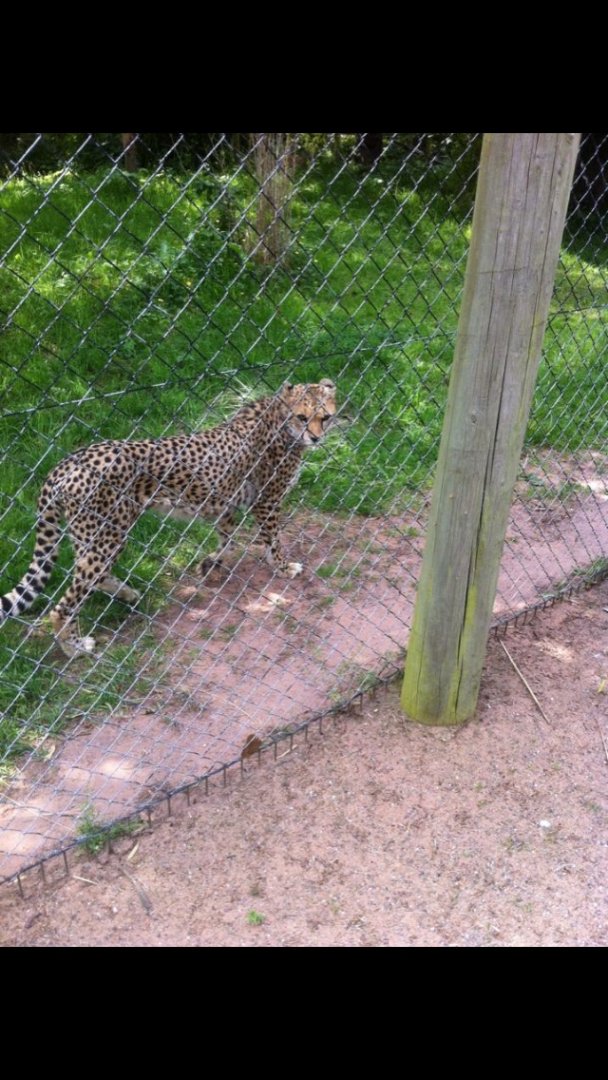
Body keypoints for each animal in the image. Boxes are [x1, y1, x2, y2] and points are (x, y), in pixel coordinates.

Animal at [0, 379, 337, 657]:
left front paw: (210, 563)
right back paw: (74, 648)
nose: (316, 438)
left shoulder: (226, 501)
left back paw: (128, 594)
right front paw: (283, 566)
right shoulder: (266, 501)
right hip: (106, 536)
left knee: (94, 577)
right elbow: (272, 539)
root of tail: (68, 461)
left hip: (93, 536)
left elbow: (228, 540)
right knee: (67, 602)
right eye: (302, 417)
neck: (279, 418)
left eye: (325, 417)